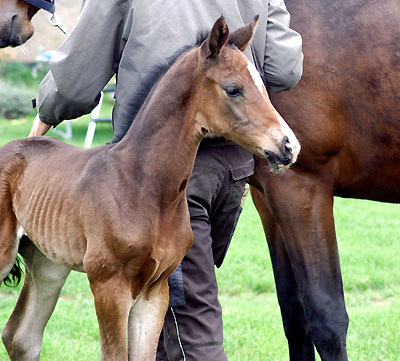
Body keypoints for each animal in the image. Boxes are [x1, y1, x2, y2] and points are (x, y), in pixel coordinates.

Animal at [0, 16, 300, 360]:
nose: (289, 146)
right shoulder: (108, 285)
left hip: (48, 264)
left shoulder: (156, 290)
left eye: (263, 86)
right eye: (233, 89)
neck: (142, 185)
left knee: (21, 336)